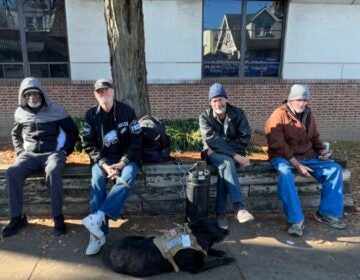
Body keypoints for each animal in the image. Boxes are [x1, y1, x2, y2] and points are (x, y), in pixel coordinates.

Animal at [102, 220, 235, 276]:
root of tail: (110, 249)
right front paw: (228, 259)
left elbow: (209, 251)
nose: (228, 231)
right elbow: (214, 261)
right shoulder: (196, 267)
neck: (194, 236)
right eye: (216, 227)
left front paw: (218, 251)